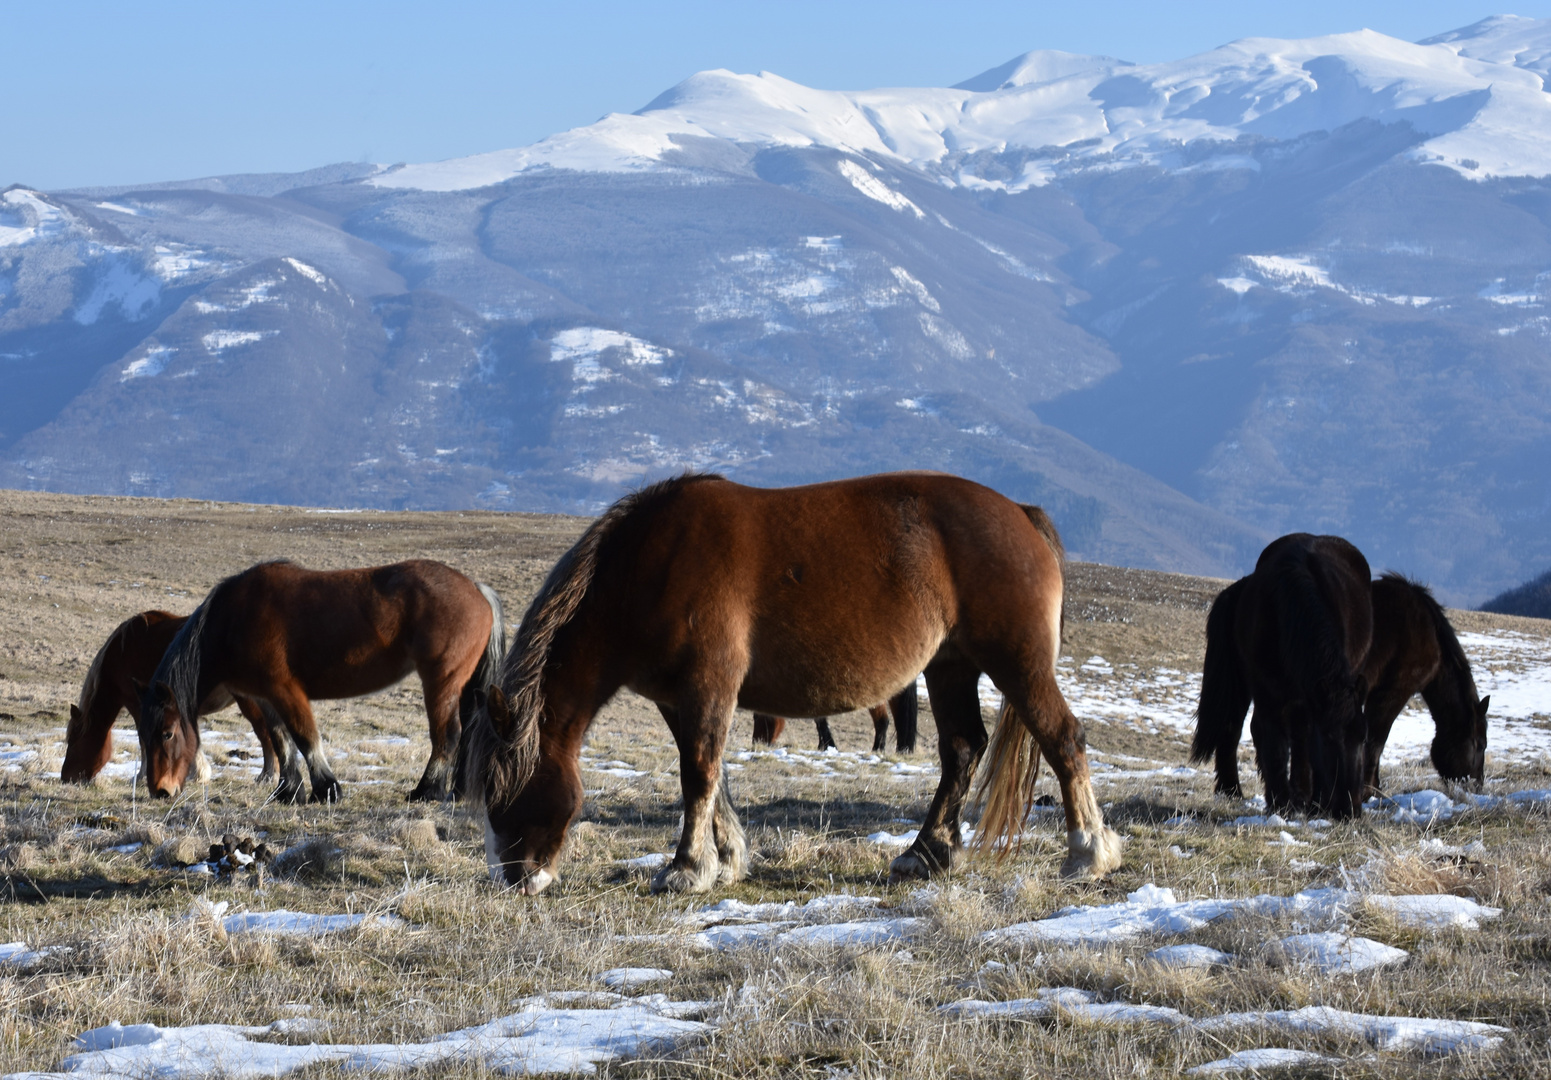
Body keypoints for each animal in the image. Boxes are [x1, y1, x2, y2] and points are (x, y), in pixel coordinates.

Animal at [63, 608, 277, 785]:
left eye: (73, 740)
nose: (65, 777)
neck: (120, 656)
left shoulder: (138, 705)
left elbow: (143, 740)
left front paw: (142, 777)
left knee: (265, 733)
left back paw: (268, 776)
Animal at [753, 688, 918, 754]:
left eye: (757, 717)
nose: (756, 742)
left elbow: (819, 719)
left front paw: (827, 744)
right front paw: (824, 744)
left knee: (883, 720)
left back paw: (878, 749)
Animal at [1184, 530, 1371, 819]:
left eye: (1363, 737)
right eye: (1329, 738)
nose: (1349, 809)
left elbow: (1301, 738)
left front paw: (1307, 799)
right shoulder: (1267, 691)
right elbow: (1274, 742)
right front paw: (1282, 802)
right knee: (1235, 727)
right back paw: (1232, 791)